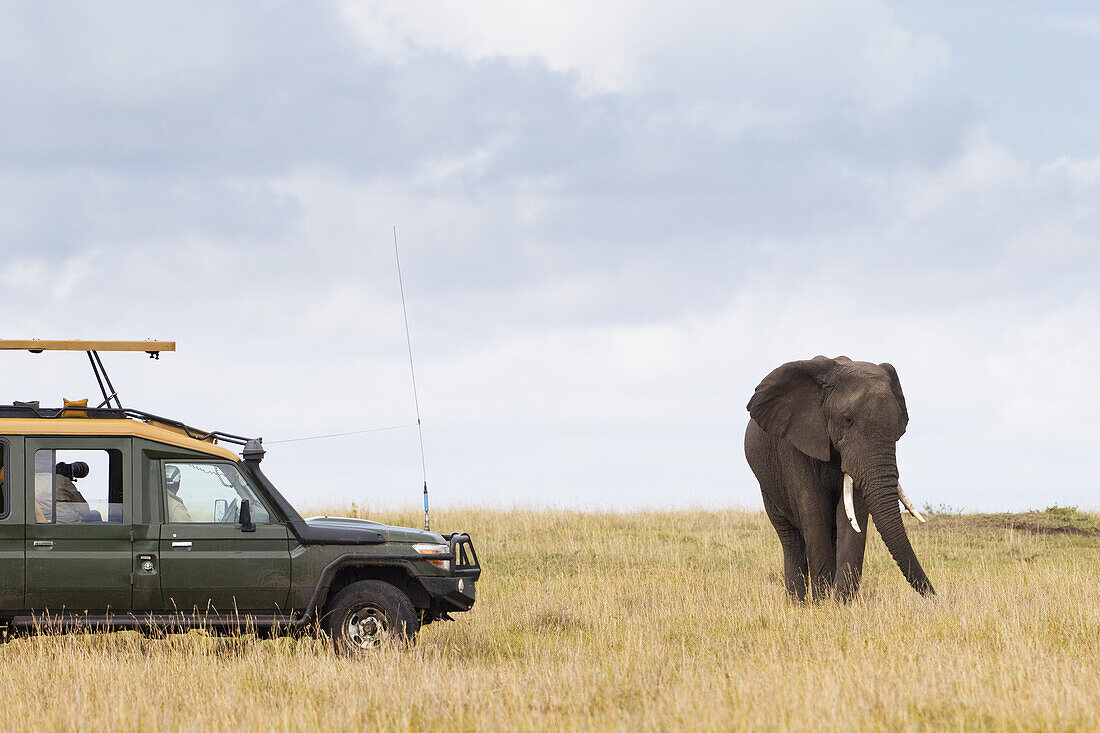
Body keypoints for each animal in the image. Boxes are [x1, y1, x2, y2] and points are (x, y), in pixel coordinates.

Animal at [743, 354, 932, 598]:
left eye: (898, 429)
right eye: (848, 420)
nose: (935, 596)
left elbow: (852, 513)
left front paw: (841, 601)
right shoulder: (795, 443)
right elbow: (814, 508)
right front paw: (822, 602)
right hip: (768, 486)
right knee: (791, 540)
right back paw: (798, 602)